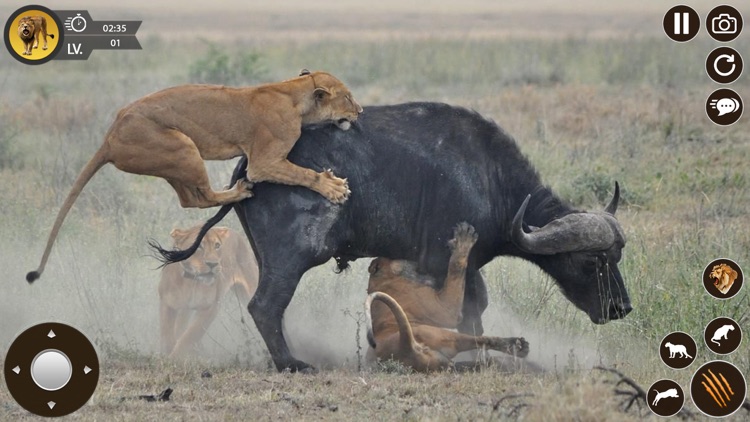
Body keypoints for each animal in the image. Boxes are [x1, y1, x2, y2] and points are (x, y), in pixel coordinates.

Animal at [27, 69, 362, 282]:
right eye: (347, 97)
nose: (359, 111)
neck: (294, 93)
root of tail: (109, 136)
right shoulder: (263, 161)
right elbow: (303, 174)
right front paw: (333, 187)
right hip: (182, 146)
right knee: (203, 195)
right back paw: (240, 190)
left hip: (174, 158)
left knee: (189, 200)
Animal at [159, 225, 258, 357]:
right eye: (199, 246)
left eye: (217, 245)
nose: (213, 264)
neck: (192, 282)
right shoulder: (167, 302)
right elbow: (167, 333)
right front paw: (167, 353)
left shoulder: (211, 307)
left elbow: (190, 335)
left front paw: (175, 357)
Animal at [365, 223, 529, 372]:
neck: (384, 279)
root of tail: (404, 347)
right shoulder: (446, 310)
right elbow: (456, 268)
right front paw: (462, 239)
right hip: (447, 337)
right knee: (482, 340)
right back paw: (519, 347)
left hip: (445, 360)